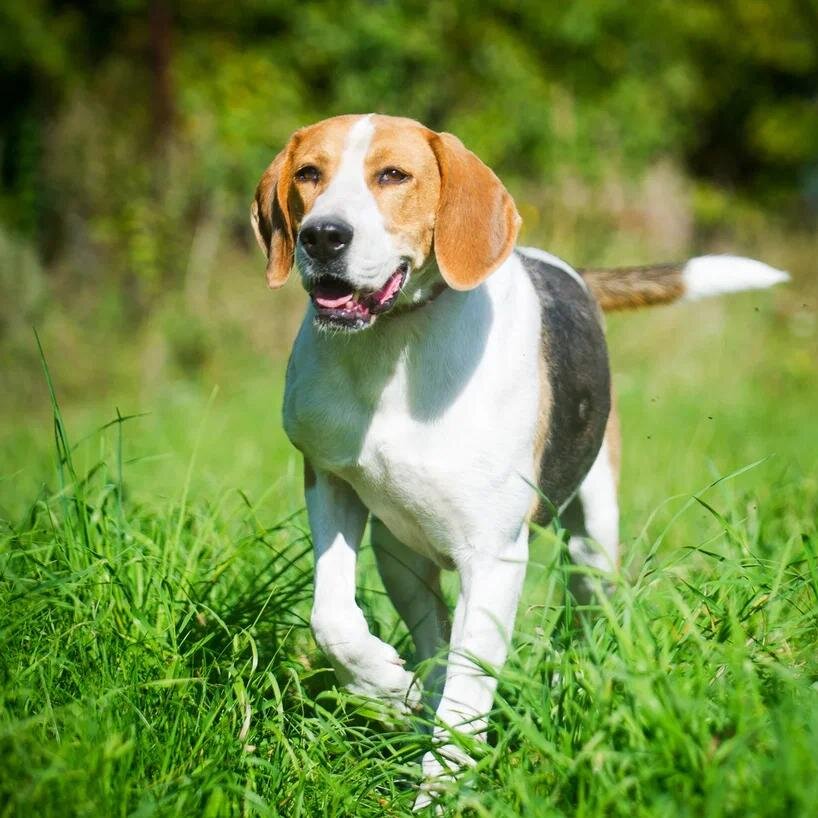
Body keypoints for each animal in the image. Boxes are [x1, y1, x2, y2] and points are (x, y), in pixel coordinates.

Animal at [249, 115, 784, 808]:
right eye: (308, 173)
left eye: (393, 175)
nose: (323, 236)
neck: (395, 343)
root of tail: (567, 268)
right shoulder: (330, 480)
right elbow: (332, 618)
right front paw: (388, 689)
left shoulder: (495, 557)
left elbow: (466, 701)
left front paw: (440, 797)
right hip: (400, 557)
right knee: (432, 642)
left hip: (592, 541)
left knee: (576, 617)